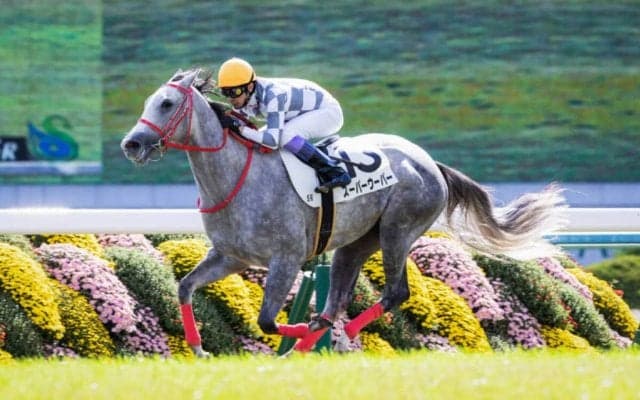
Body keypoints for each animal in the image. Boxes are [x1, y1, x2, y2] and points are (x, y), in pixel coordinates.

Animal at [121, 69, 566, 356]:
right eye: (148, 102)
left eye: (166, 103)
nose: (132, 144)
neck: (237, 177)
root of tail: (428, 162)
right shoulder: (230, 257)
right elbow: (185, 287)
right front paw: (198, 348)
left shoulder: (285, 259)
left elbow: (266, 321)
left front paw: (298, 330)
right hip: (356, 243)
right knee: (337, 298)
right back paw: (311, 341)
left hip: (398, 230)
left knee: (394, 292)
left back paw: (335, 334)